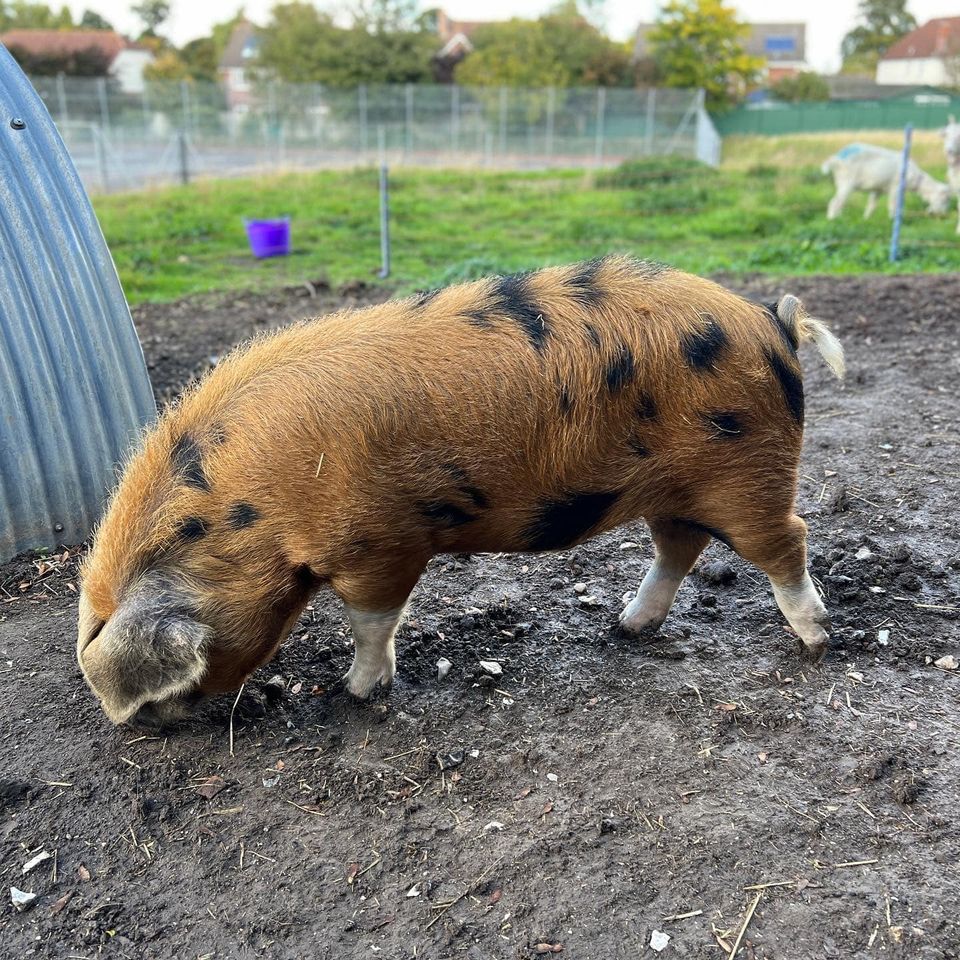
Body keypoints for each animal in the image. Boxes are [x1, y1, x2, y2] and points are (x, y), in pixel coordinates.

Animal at [77, 257, 844, 728]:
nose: (135, 729)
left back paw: (816, 639)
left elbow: (372, 621)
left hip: (747, 473)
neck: (251, 510)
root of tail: (774, 323)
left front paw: (357, 694)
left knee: (787, 539)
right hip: (675, 490)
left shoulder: (379, 543)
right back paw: (627, 627)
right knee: (679, 549)